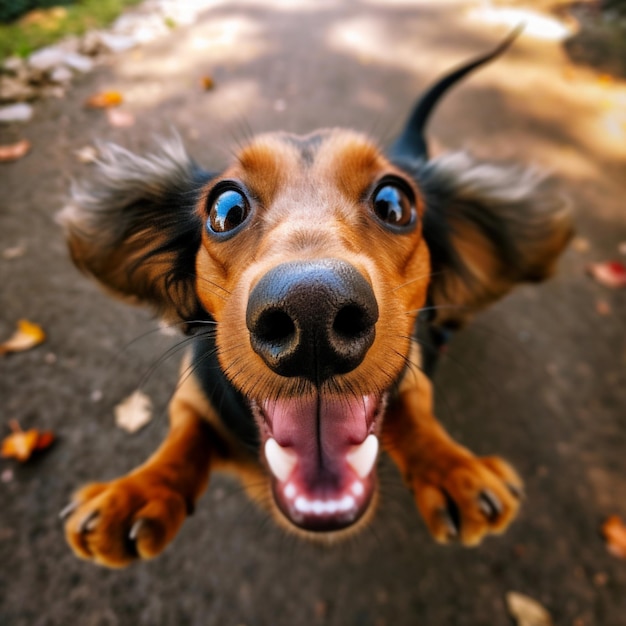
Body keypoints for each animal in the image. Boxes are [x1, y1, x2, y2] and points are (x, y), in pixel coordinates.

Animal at [58, 29, 572, 564]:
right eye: (226, 207)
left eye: (394, 202)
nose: (312, 313)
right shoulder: (192, 398)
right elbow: (182, 439)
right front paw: (137, 491)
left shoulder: (412, 378)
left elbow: (418, 418)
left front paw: (453, 469)